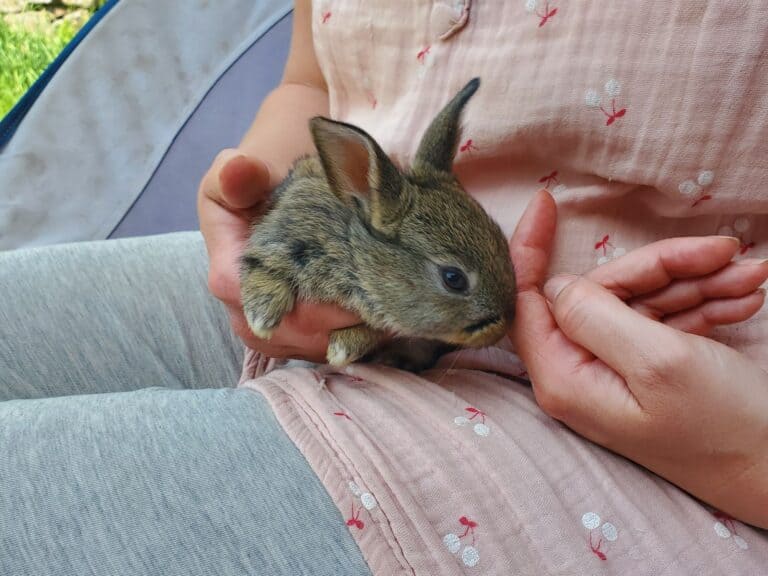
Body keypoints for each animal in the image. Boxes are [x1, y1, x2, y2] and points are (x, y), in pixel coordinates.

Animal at [240, 78, 516, 371]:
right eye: (454, 278)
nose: (505, 325)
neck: (353, 256)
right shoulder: (279, 238)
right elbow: (261, 268)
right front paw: (261, 319)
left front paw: (342, 348)